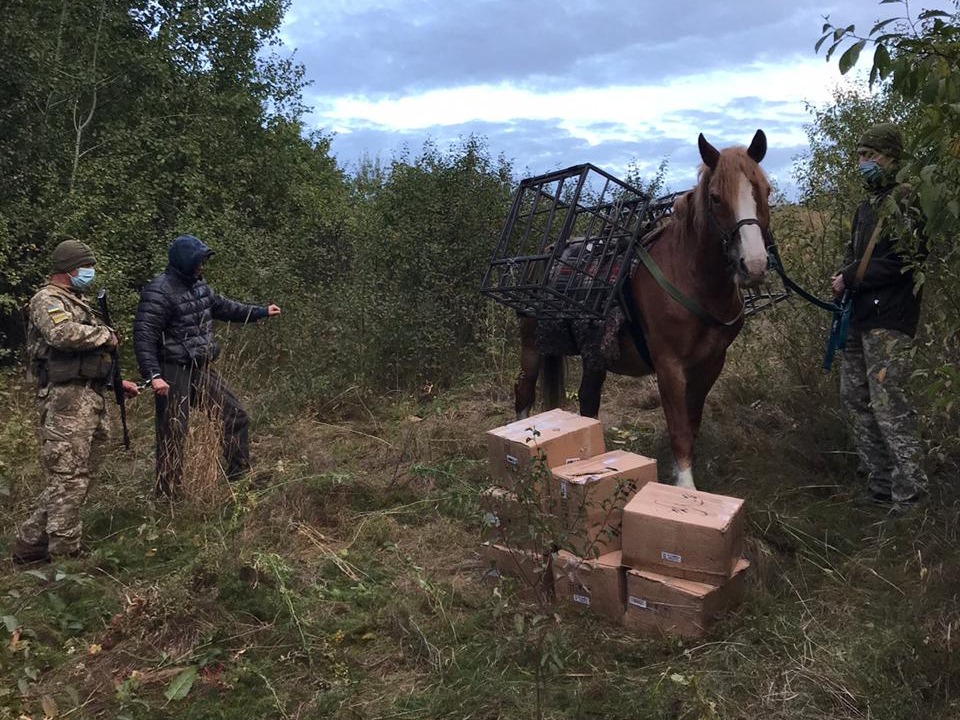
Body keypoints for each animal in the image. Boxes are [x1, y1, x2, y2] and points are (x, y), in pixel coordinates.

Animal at [510, 129, 772, 490]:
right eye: (716, 198)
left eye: (765, 191)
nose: (755, 265)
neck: (689, 278)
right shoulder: (669, 366)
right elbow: (679, 429)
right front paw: (685, 489)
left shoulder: (710, 365)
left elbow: (692, 424)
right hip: (532, 348)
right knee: (523, 394)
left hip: (594, 354)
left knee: (587, 401)